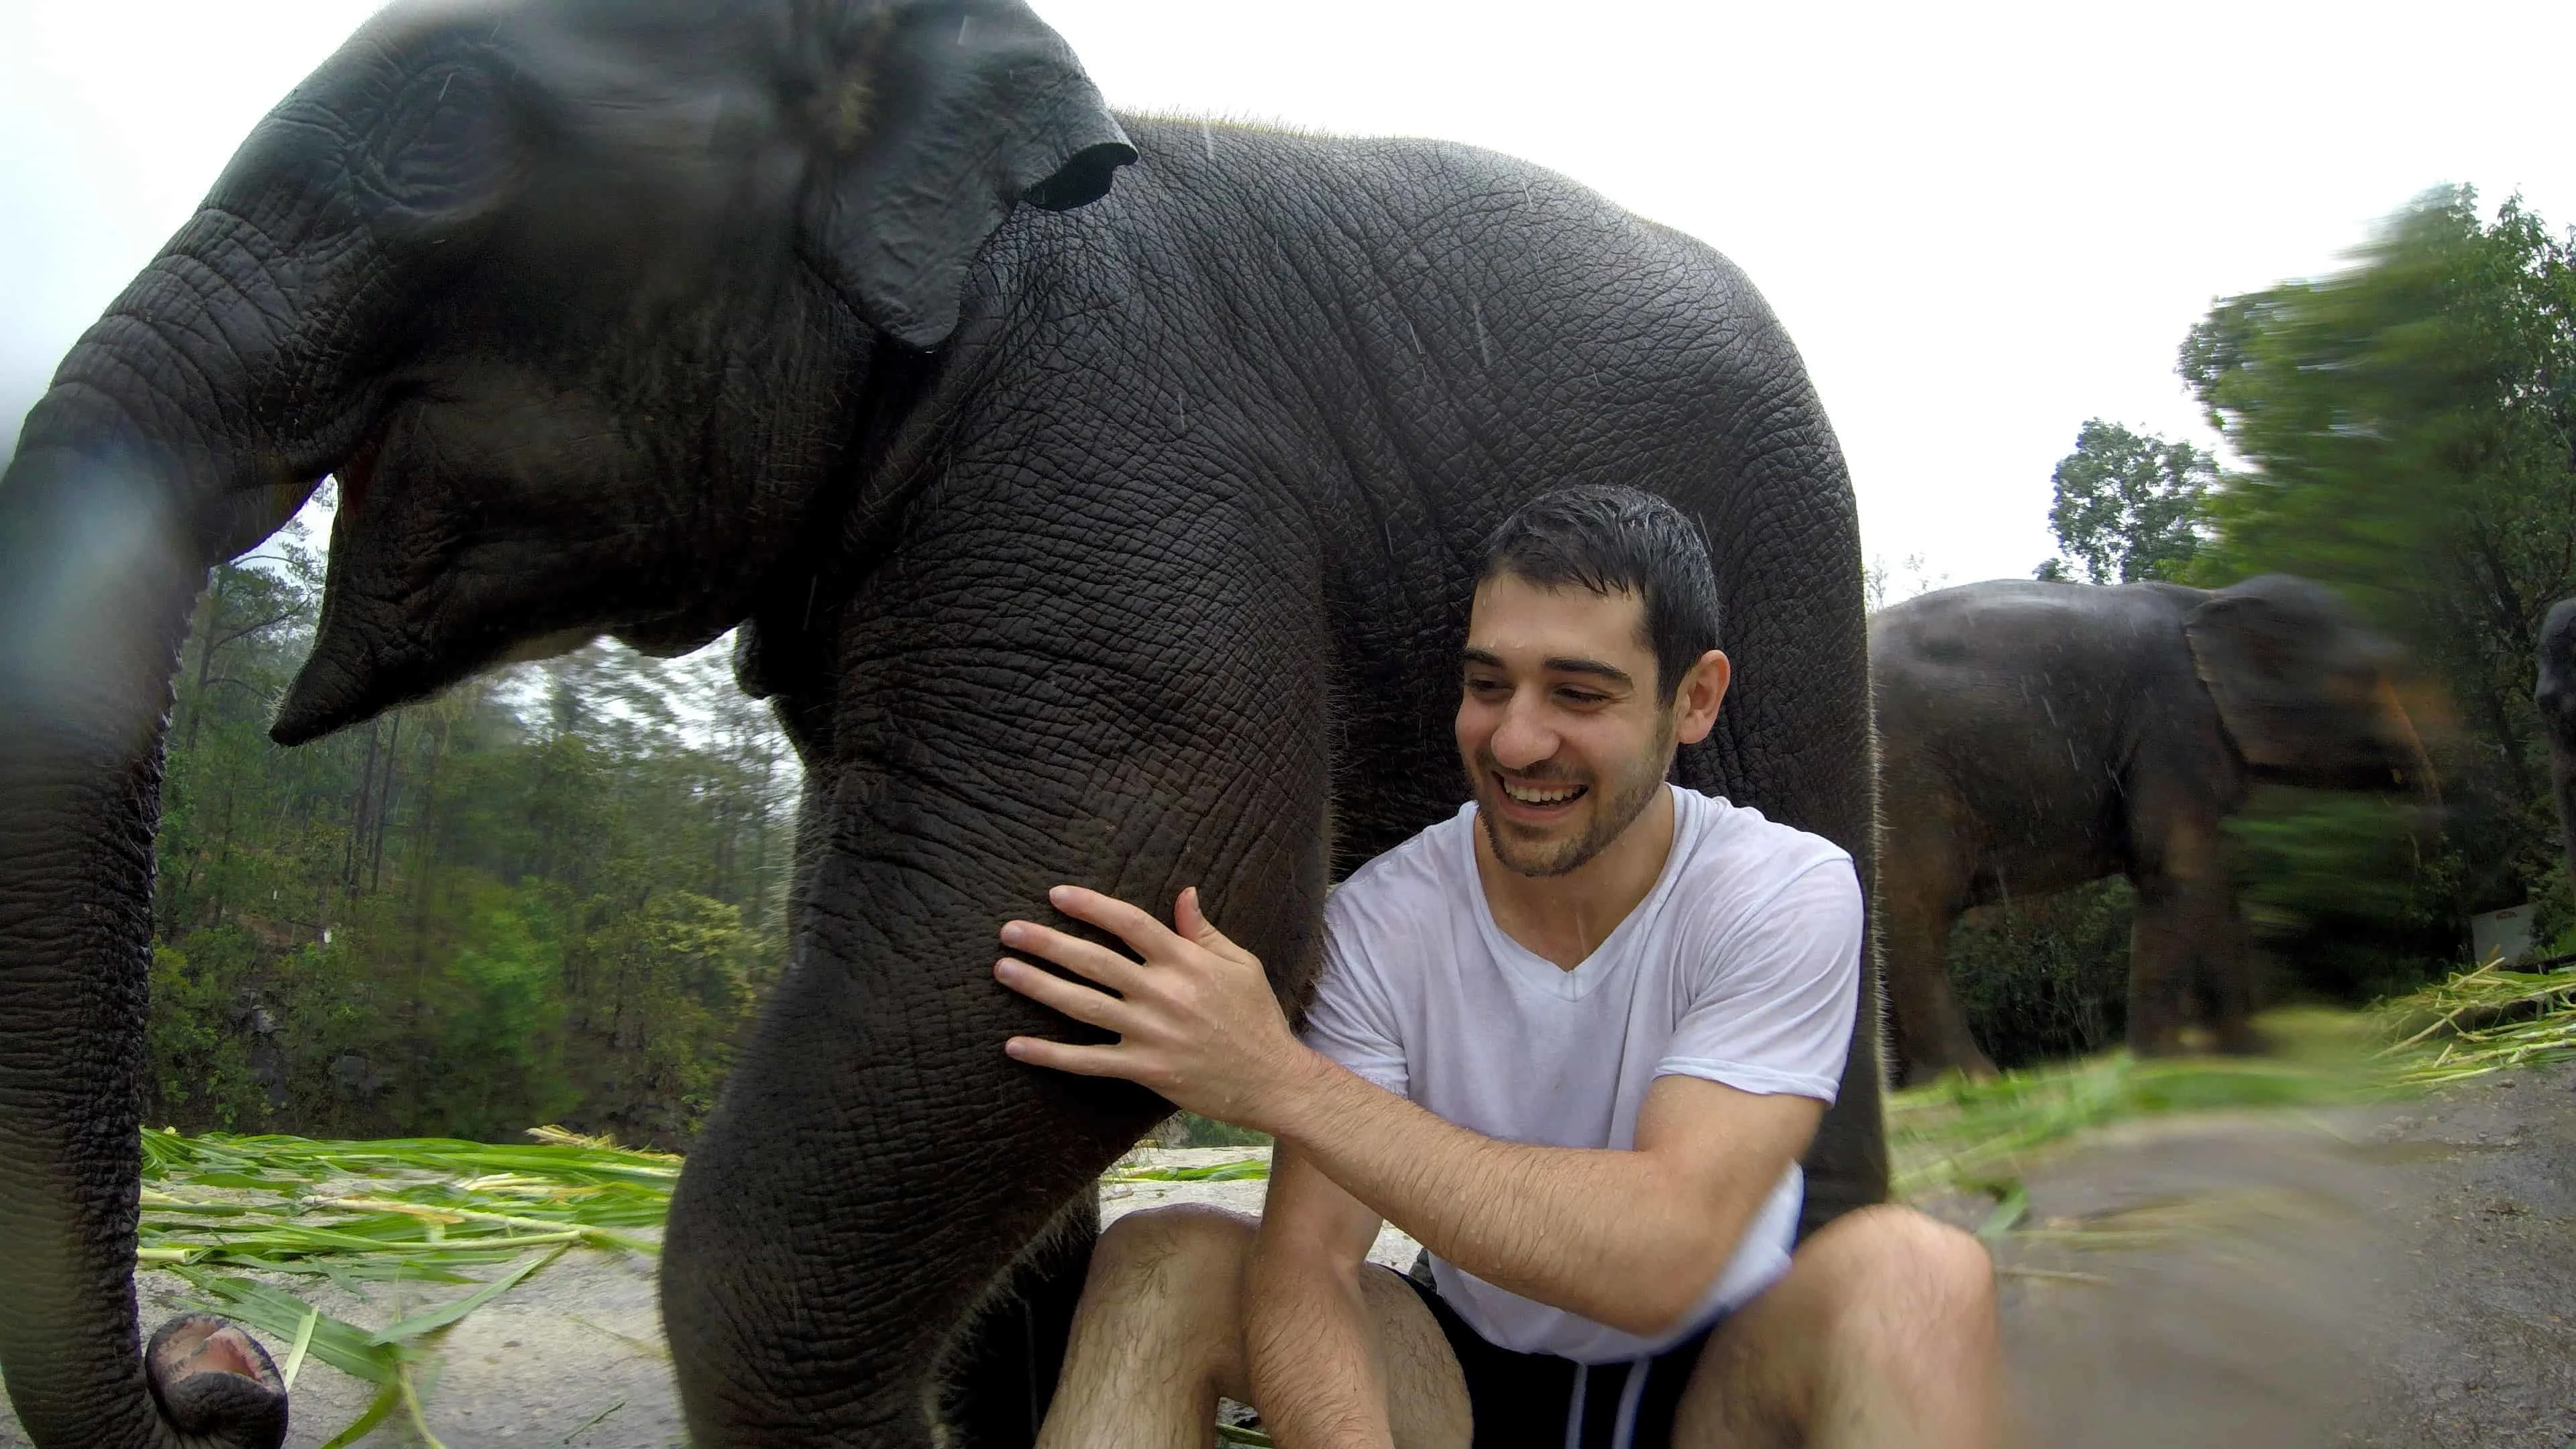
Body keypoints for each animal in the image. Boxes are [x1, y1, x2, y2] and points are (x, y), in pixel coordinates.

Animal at [1875, 570, 2431, 1077]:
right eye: (2370, 671)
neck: (2212, 596)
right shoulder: (2174, 724)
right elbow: (2177, 866)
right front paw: (2166, 1064)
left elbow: (2214, 875)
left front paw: (2256, 1054)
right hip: (1906, 783)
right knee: (1917, 914)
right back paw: (1973, 1084)